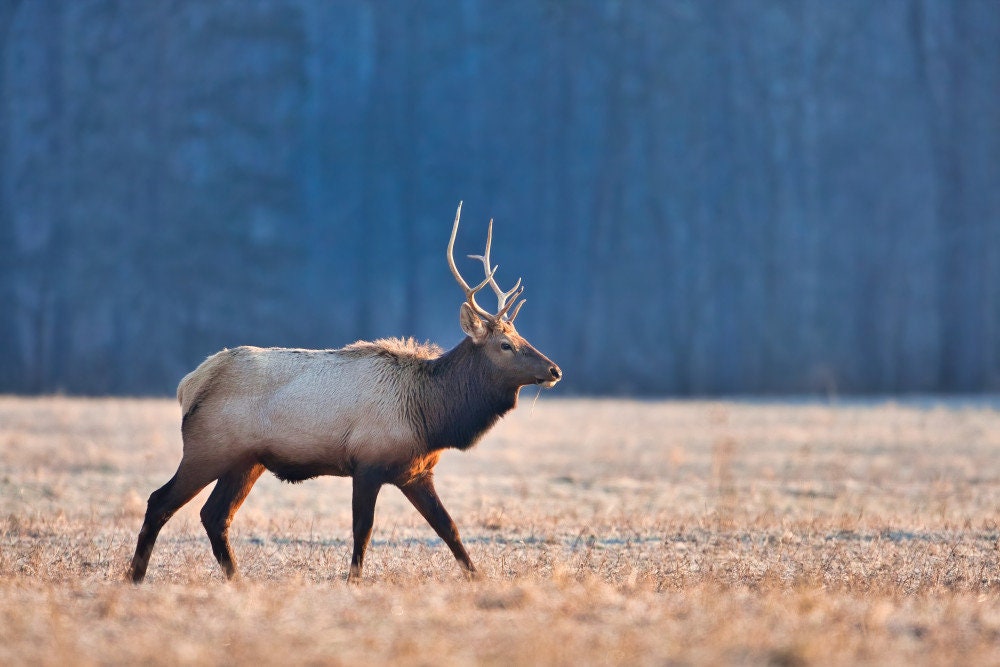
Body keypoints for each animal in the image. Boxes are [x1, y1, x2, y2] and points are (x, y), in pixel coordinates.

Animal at [126, 203, 561, 583]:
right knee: (160, 501)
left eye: (520, 336)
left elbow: (449, 528)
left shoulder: (417, 471)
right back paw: (135, 576)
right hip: (208, 450)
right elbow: (363, 529)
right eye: (505, 345)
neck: (431, 415)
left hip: (245, 461)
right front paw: (353, 581)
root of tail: (190, 384)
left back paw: (237, 580)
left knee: (215, 516)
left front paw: (478, 577)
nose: (554, 370)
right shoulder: (368, 463)